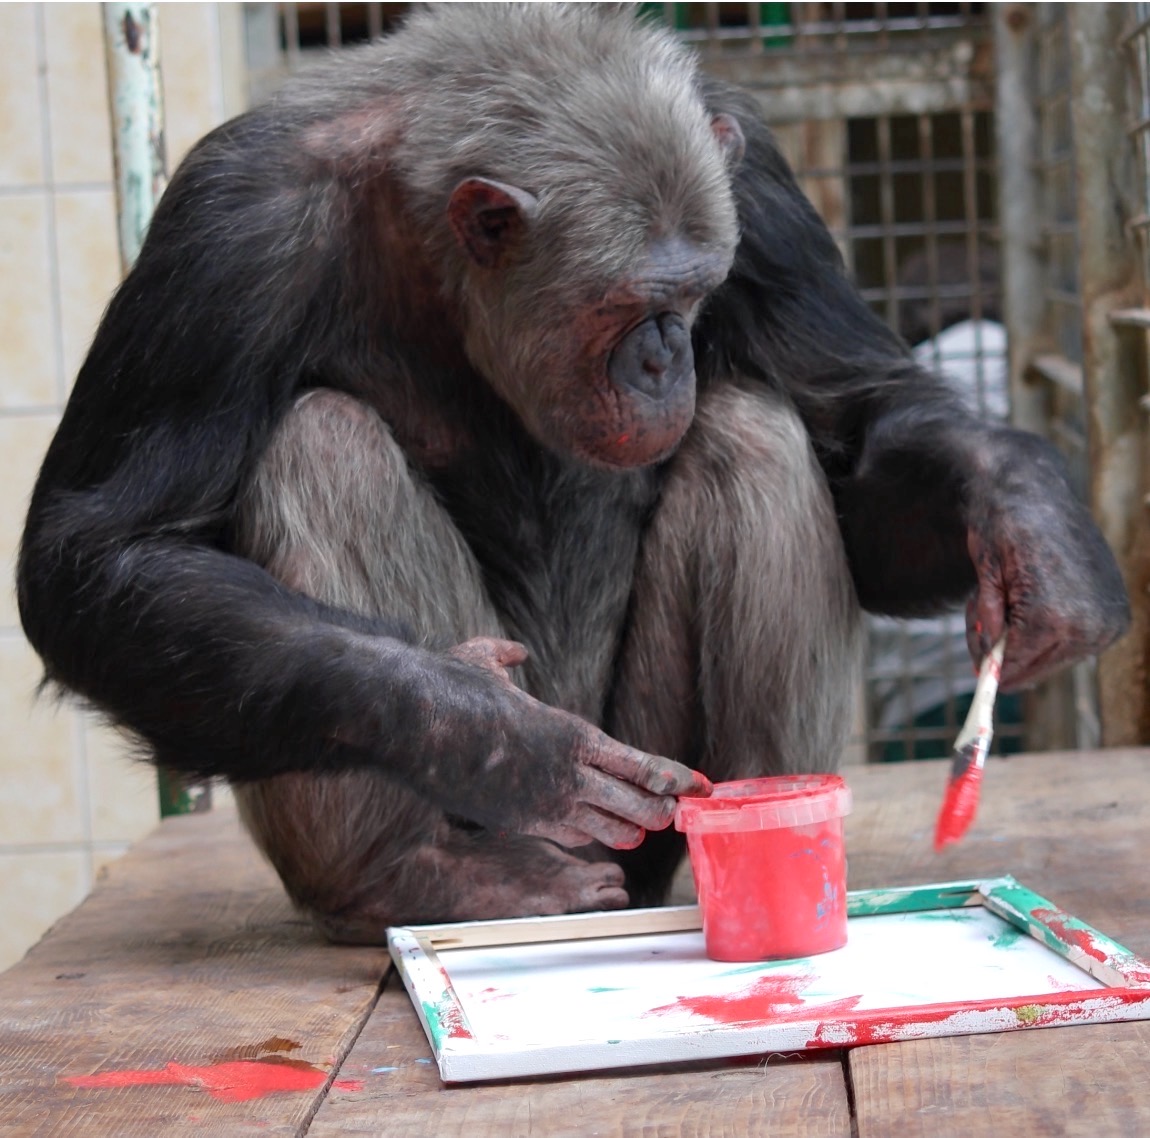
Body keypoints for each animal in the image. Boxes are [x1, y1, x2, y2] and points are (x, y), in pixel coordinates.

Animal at [20, 4, 1131, 937]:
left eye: (697, 293)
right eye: (633, 306)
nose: (667, 356)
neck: (422, 241)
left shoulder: (756, 182)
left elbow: (854, 427)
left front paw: (1029, 525)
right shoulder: (224, 231)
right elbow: (103, 547)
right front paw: (493, 736)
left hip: (650, 815)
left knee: (755, 434)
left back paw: (768, 821)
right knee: (320, 442)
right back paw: (421, 874)